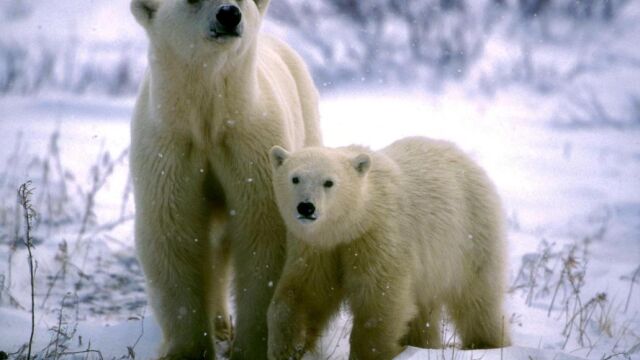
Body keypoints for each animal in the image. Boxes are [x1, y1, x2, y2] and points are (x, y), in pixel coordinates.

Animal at [129, 0, 320, 358]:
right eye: (191, 0)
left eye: (241, 0)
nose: (229, 13)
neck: (210, 123)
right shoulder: (169, 149)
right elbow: (173, 231)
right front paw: (187, 349)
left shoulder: (251, 146)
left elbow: (263, 232)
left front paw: (252, 346)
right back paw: (219, 324)